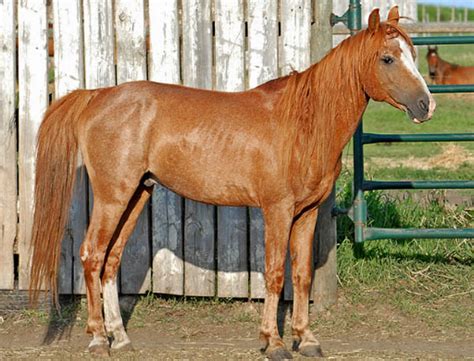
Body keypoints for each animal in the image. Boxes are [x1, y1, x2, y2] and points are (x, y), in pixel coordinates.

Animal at [29, 7, 436, 358]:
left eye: (413, 54)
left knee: (111, 261)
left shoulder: (306, 214)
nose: (426, 105)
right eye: (387, 58)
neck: (304, 123)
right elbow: (275, 275)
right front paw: (274, 342)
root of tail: (96, 96)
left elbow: (302, 276)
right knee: (92, 255)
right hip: (113, 197)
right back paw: (99, 338)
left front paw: (306, 340)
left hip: (137, 195)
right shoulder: (277, 210)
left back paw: (121, 337)